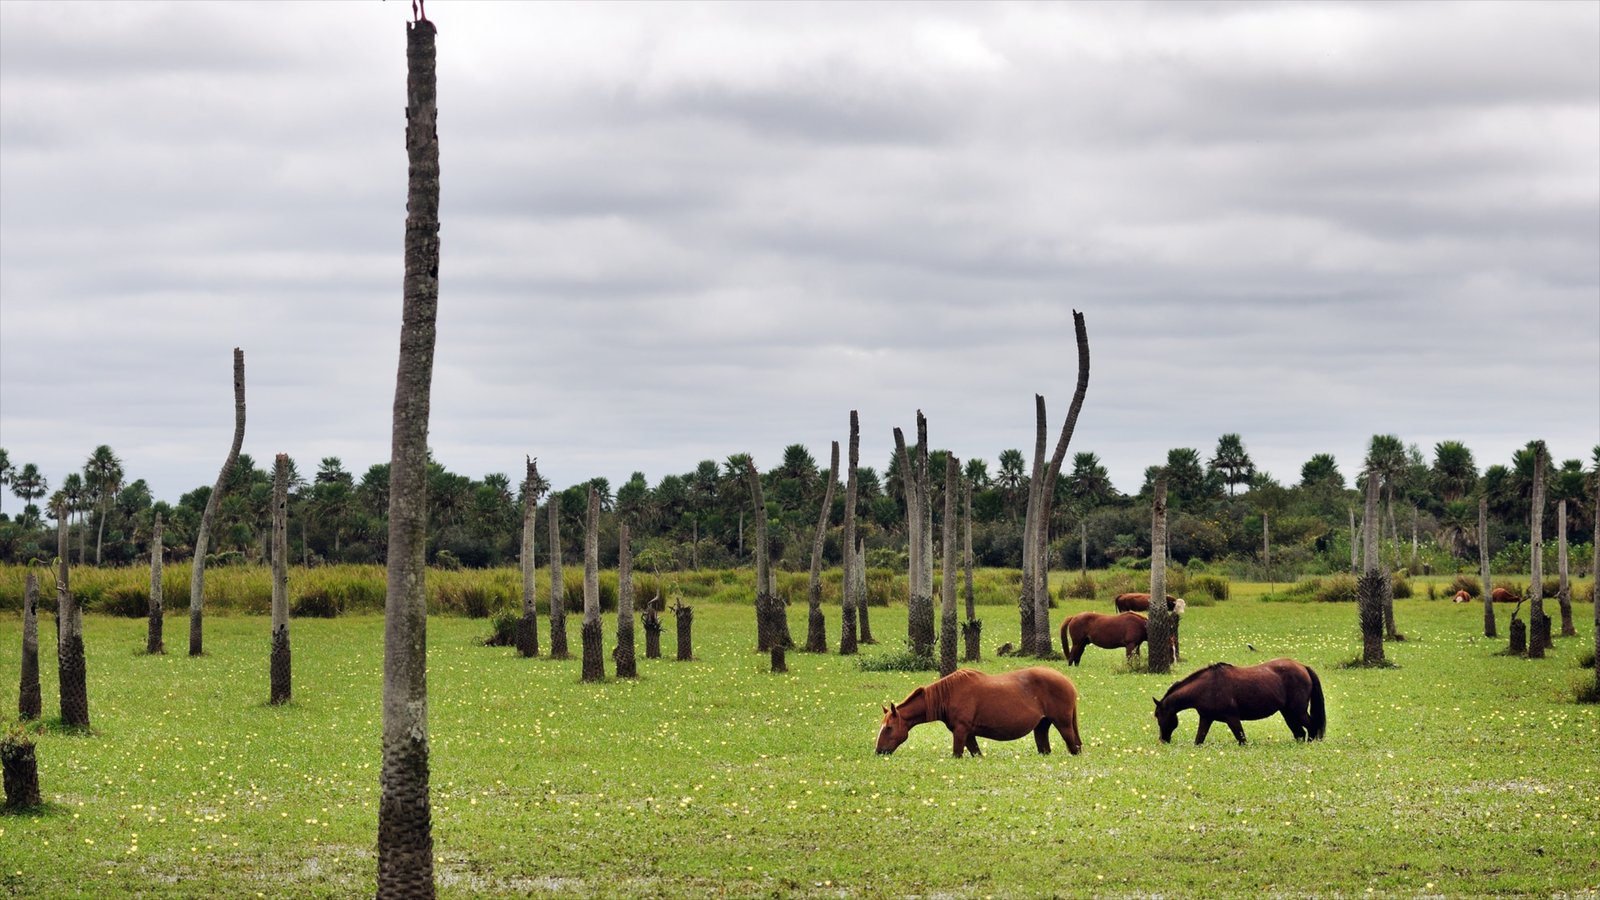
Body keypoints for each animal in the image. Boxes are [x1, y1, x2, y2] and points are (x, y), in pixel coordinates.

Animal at [876, 662, 1088, 752]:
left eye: (889, 728)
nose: (879, 751)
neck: (948, 695)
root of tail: (1068, 682)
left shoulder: (961, 732)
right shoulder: (969, 734)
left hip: (1064, 725)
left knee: (1074, 747)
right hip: (1042, 726)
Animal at [1152, 656, 1324, 746]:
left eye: (1158, 716)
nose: (1162, 740)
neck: (1207, 687)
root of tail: (1302, 666)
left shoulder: (1232, 718)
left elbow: (1242, 740)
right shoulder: (1206, 718)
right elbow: (1199, 740)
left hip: (1297, 712)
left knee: (1312, 727)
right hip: (1288, 713)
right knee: (1300, 733)